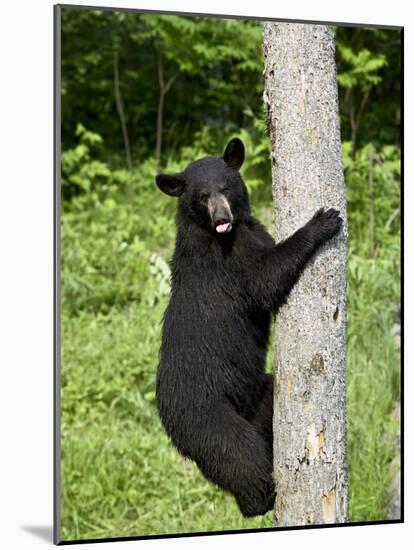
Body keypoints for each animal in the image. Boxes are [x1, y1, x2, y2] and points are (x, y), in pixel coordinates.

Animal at [154, 138, 342, 516]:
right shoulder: (227, 261)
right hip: (208, 417)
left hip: (255, 395)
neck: (215, 234)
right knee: (239, 455)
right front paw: (324, 221)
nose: (222, 219)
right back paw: (261, 499)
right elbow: (265, 276)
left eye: (225, 187)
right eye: (202, 196)